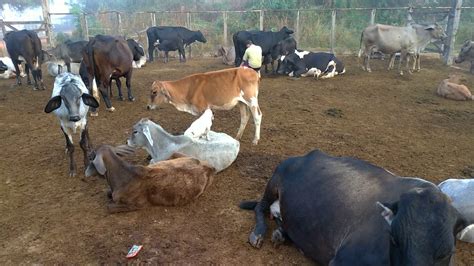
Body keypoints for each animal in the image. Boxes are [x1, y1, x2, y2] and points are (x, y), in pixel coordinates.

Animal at [241, 150, 466, 264]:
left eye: (447, 253)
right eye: (394, 239)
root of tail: (302, 155)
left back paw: (280, 233)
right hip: (275, 180)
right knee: (260, 207)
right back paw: (258, 233)